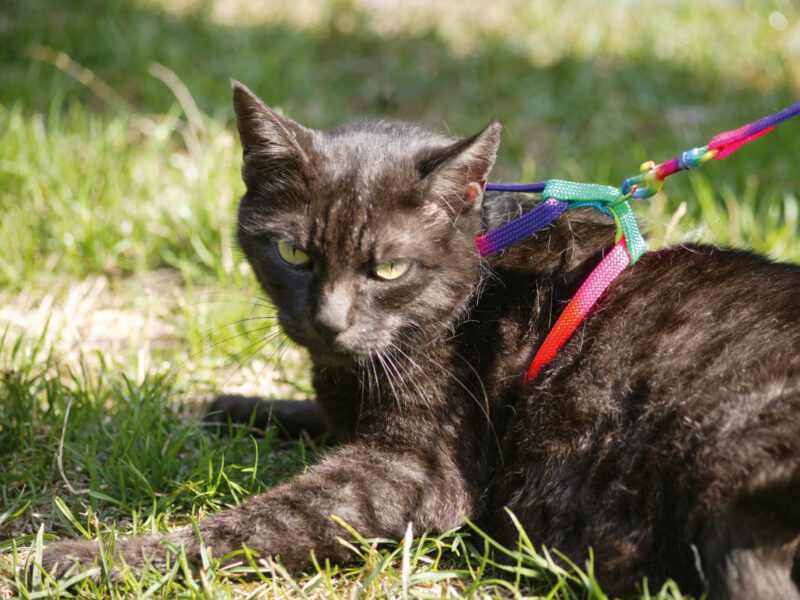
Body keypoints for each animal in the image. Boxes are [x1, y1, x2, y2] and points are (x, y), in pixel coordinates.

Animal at [32, 82, 800, 596]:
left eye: (390, 269)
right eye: (295, 255)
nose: (329, 320)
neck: (478, 279)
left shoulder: (416, 471)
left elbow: (256, 524)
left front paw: (85, 559)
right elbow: (319, 415)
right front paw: (233, 404)